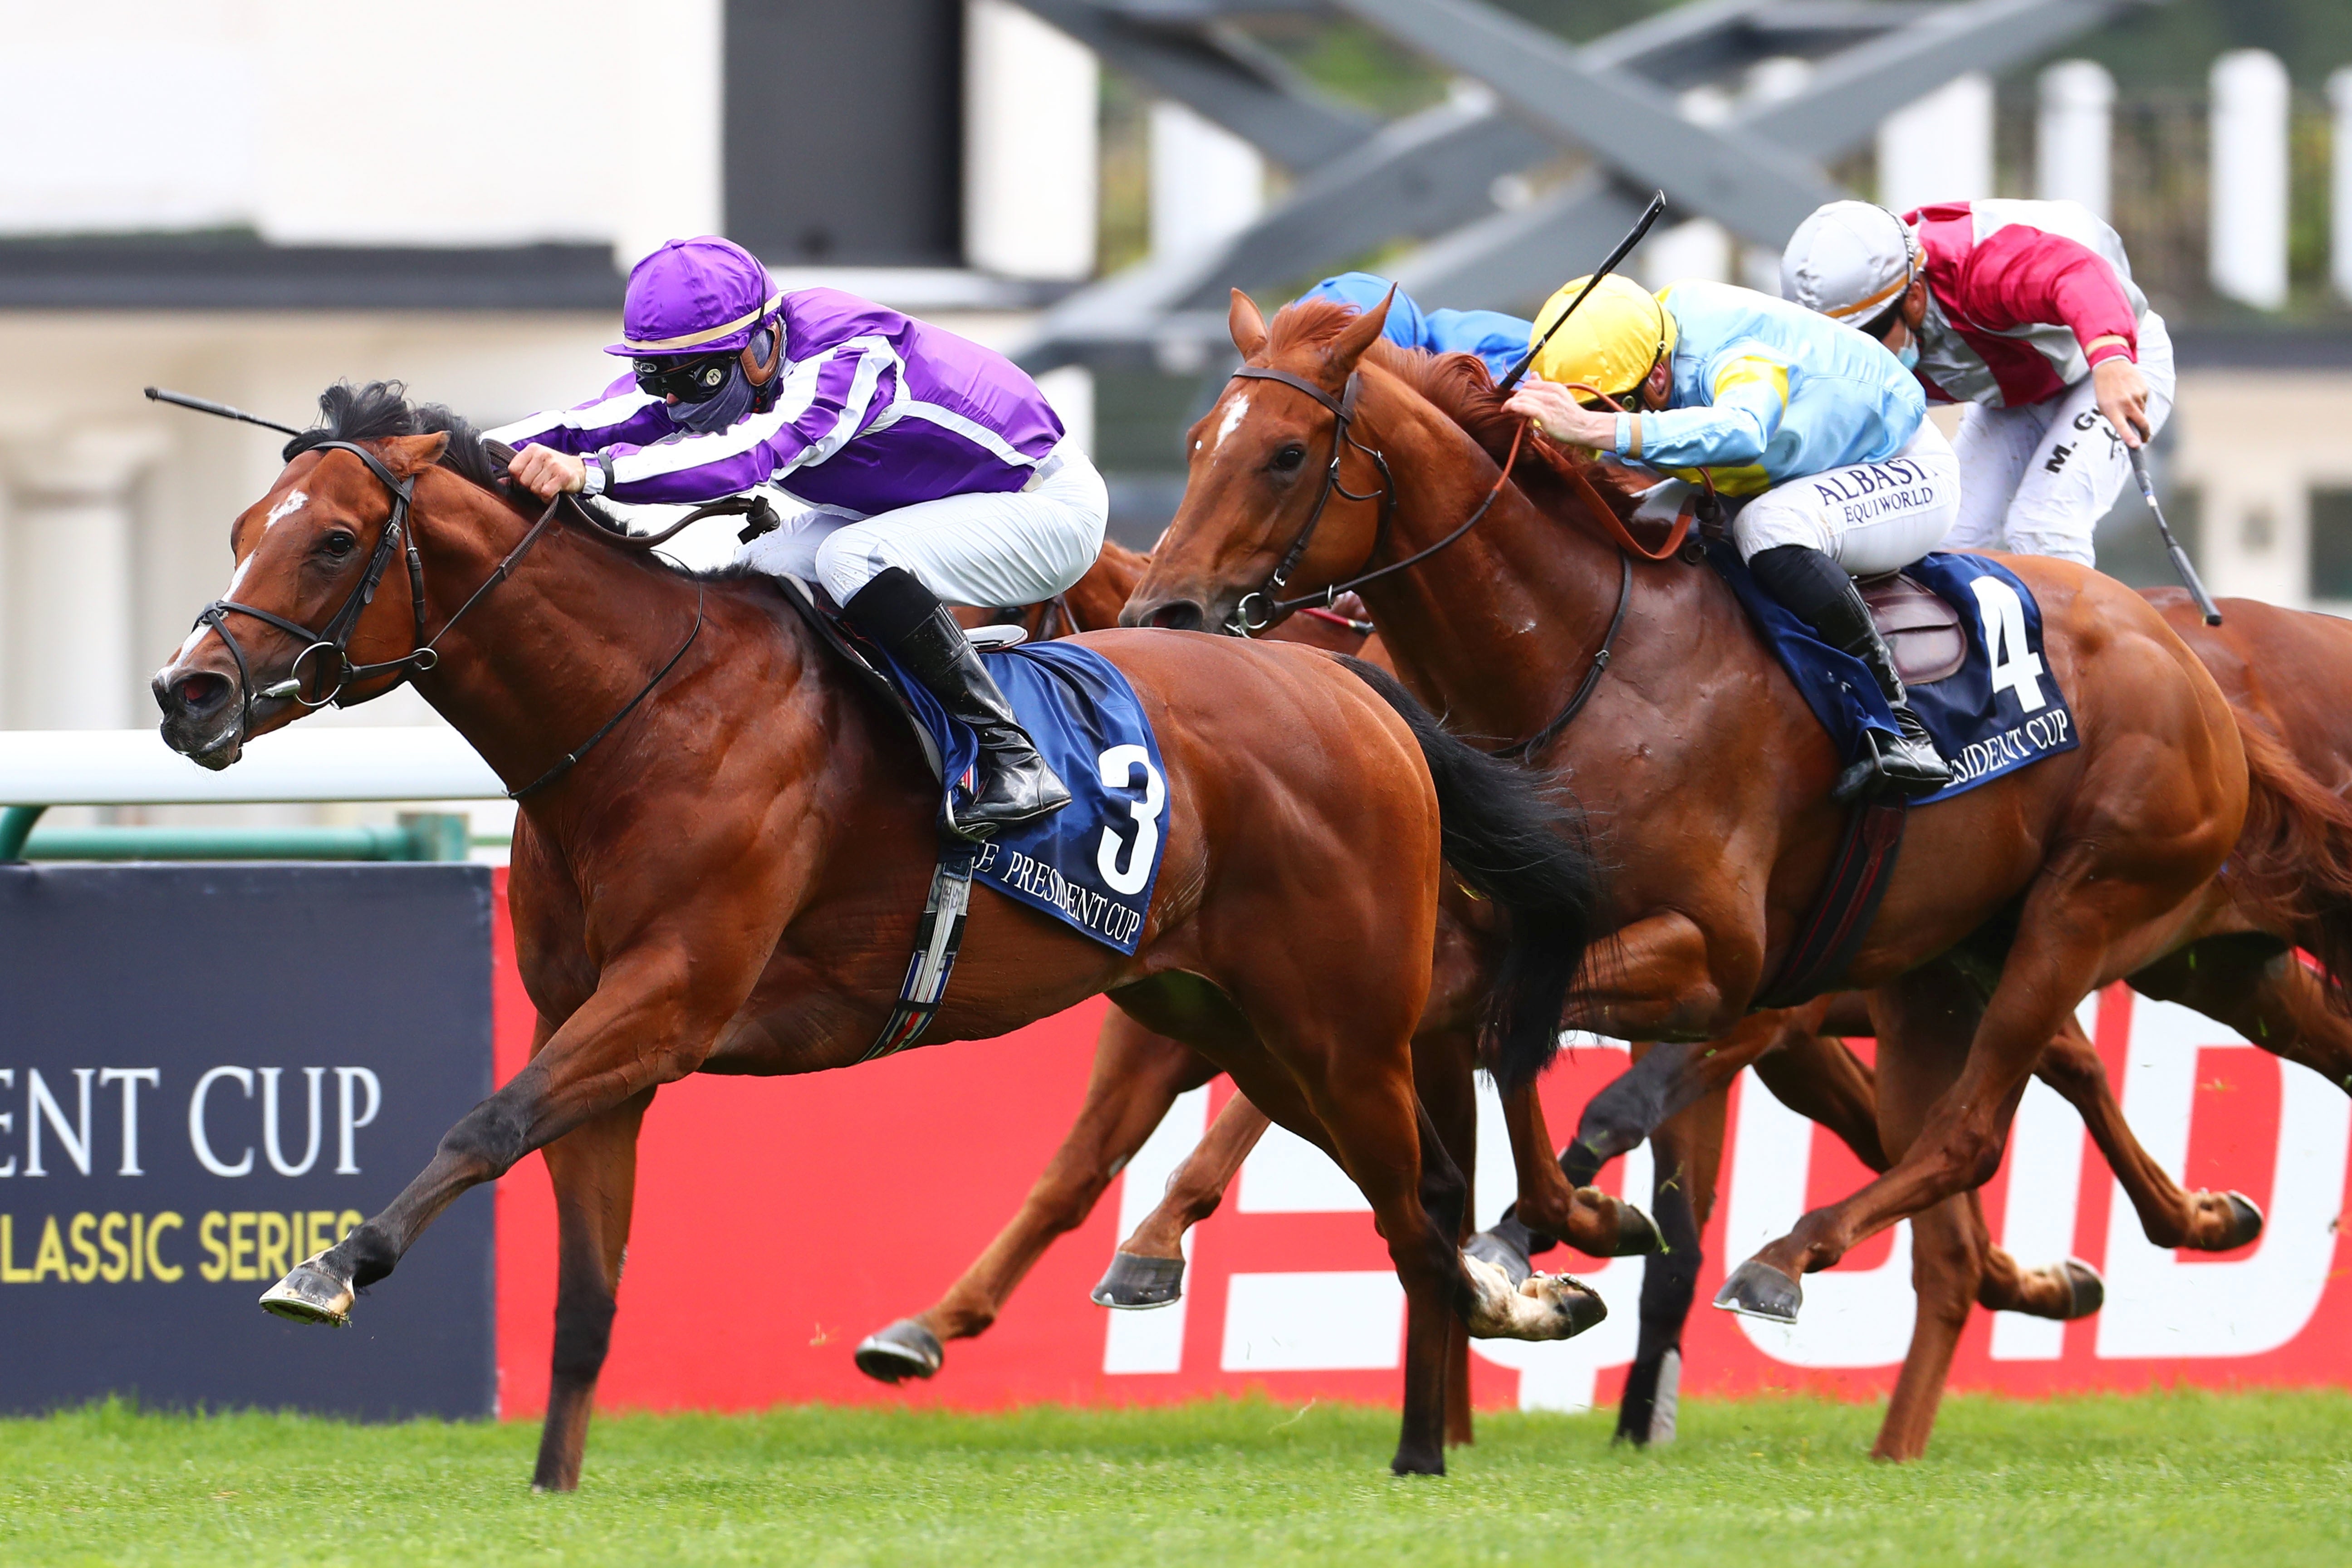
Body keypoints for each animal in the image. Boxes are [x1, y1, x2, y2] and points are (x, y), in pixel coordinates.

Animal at [152, 383, 1618, 1485]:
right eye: (239, 526)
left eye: (335, 541)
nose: (188, 691)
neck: (641, 712)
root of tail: (1351, 687)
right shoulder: (596, 1031)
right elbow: (584, 1281)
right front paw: (552, 1483)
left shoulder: (668, 999)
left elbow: (483, 1124)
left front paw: (330, 1267)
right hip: (1239, 1022)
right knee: (1412, 1185)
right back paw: (1517, 1306)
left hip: (1342, 1020)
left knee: (1417, 1206)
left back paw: (1431, 1435)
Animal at [1119, 294, 2277, 1457]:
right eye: (1196, 442)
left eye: (1284, 454)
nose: (1159, 614)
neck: (1588, 659)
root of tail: (2176, 649)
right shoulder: (1528, 933)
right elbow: (1506, 1045)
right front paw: (1565, 1229)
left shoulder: (1716, 959)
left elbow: (1524, 1047)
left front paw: (1551, 1229)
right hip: (1943, 958)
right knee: (1998, 1115)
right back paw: (2176, 1223)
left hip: (2081, 908)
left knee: (1969, 1131)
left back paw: (1788, 1258)